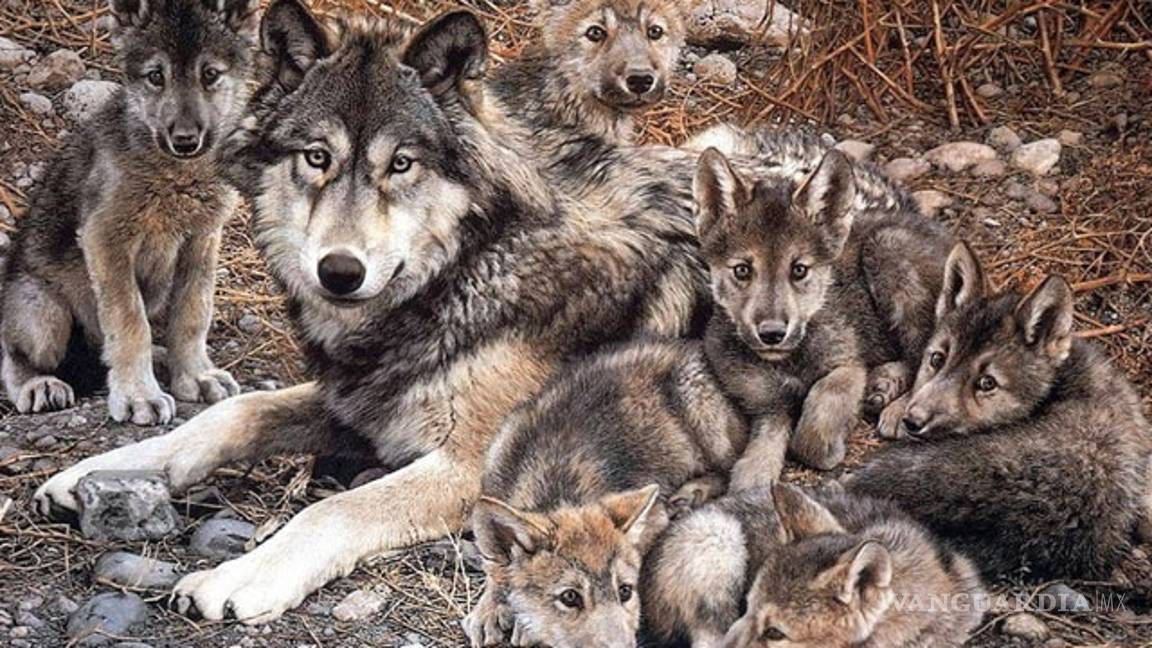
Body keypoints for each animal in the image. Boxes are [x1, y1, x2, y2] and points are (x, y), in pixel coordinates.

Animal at [1, 0, 254, 423]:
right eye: (155, 76)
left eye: (210, 75)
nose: (185, 141)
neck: (175, 175)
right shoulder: (105, 239)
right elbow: (129, 323)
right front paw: (139, 395)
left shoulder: (202, 239)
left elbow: (192, 314)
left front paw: (195, 375)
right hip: (42, 314)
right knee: (14, 355)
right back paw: (40, 385)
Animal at [33, 1, 707, 624]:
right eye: (316, 157)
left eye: (401, 164)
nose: (339, 271)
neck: (474, 264)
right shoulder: (359, 399)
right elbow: (229, 415)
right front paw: (99, 471)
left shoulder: (474, 468)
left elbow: (332, 508)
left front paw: (241, 575)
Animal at [464, 339, 748, 647]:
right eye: (570, 597)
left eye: (625, 591)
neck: (553, 482)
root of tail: (692, 346)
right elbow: (495, 567)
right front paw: (488, 609)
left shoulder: (655, 516)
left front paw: (524, 628)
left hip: (704, 417)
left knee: (730, 468)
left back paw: (691, 494)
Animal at [694, 146, 953, 483]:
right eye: (742, 270)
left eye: (799, 269)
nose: (772, 334)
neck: (789, 360)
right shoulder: (768, 405)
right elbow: (757, 459)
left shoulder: (847, 367)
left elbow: (815, 423)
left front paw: (830, 447)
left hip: (888, 250)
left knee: (926, 351)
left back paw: (896, 406)